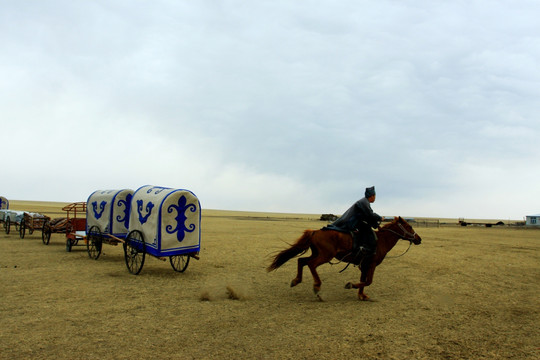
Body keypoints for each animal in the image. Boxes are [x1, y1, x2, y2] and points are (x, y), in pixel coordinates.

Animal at [266, 215, 422, 300]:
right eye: (409, 226)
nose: (418, 239)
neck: (381, 240)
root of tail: (315, 231)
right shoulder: (371, 264)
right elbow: (368, 281)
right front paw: (350, 285)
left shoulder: (364, 265)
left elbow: (363, 281)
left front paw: (361, 295)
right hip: (325, 256)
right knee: (311, 264)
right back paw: (317, 287)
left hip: (317, 253)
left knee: (302, 261)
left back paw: (296, 280)